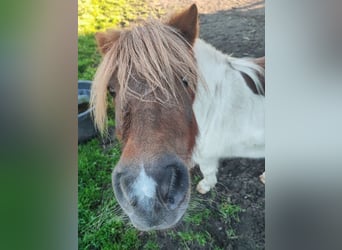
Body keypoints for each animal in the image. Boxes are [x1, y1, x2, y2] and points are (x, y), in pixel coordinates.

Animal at [90, 3, 264, 230]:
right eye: (111, 90)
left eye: (184, 80)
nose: (148, 197)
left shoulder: (207, 155)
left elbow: (208, 171)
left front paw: (205, 186)